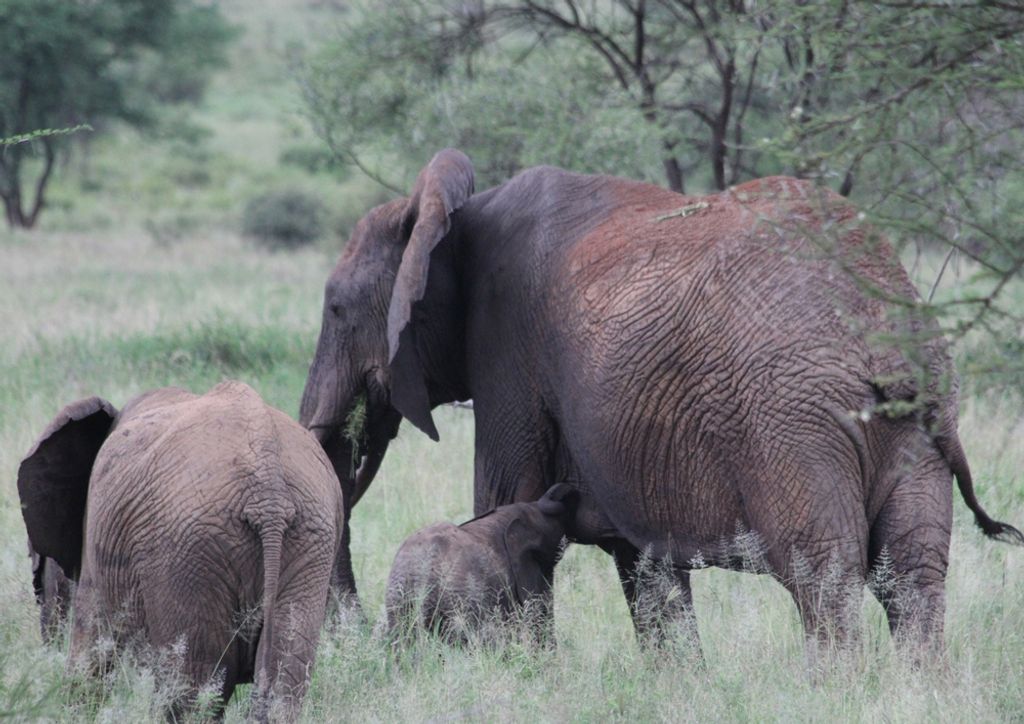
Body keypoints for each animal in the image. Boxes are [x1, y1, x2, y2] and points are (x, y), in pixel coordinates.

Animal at [18, 381, 343, 719]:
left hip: (187, 552)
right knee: (283, 681)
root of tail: (268, 490)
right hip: (308, 542)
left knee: (191, 689)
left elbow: (90, 655)